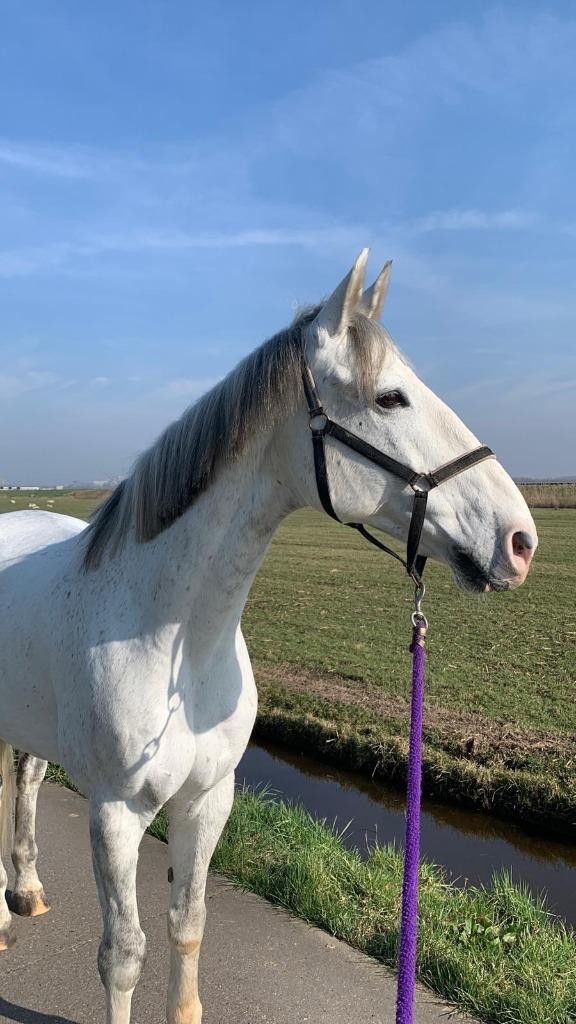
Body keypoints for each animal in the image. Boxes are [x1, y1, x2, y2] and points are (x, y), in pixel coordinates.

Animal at [0, 251, 537, 1024]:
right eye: (391, 398)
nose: (520, 540)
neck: (179, 645)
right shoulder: (115, 816)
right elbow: (123, 954)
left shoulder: (208, 801)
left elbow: (187, 927)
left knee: (25, 781)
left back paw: (27, 889)